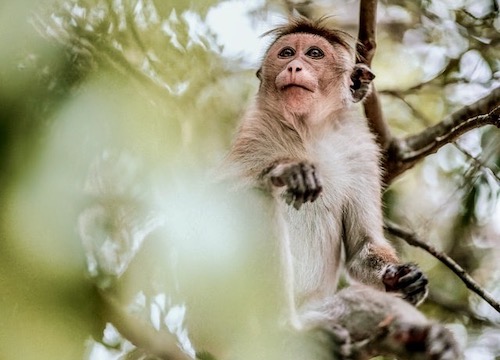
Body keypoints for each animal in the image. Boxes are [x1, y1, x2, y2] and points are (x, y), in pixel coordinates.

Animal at [226, 17, 460, 360]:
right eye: (286, 53)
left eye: (314, 53)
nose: (294, 66)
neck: (307, 131)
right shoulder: (253, 132)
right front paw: (288, 171)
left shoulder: (361, 151)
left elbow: (363, 245)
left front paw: (402, 280)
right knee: (255, 199)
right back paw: (283, 331)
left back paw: (422, 338)